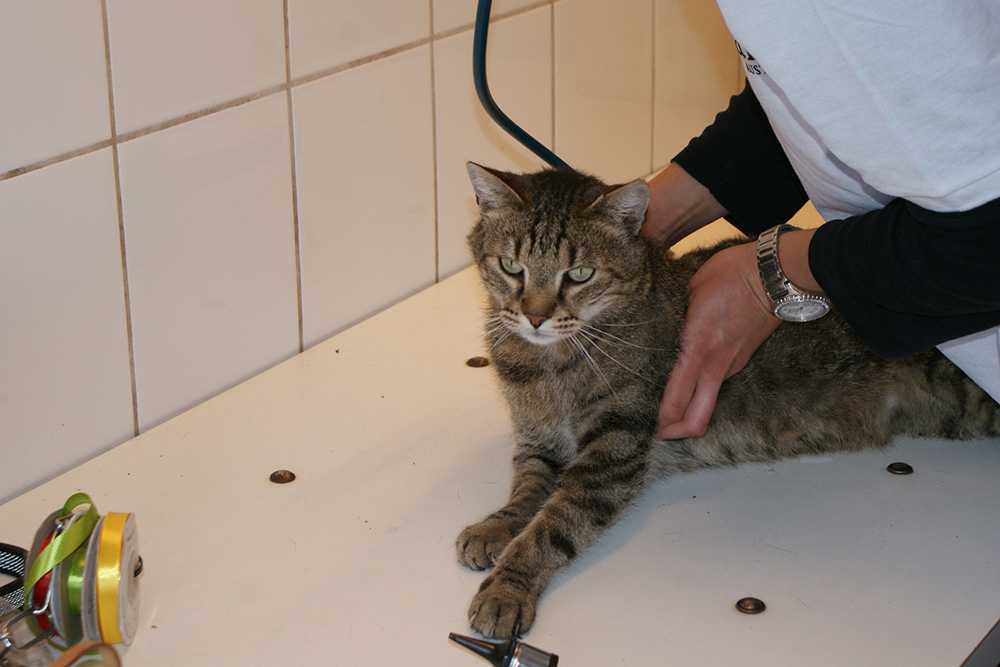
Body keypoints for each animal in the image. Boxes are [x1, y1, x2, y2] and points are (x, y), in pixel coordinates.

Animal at [455, 163, 1000, 639]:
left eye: (580, 274)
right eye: (511, 267)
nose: (535, 317)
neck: (545, 365)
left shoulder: (612, 452)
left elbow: (552, 524)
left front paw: (508, 589)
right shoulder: (538, 439)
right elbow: (526, 489)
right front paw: (495, 526)